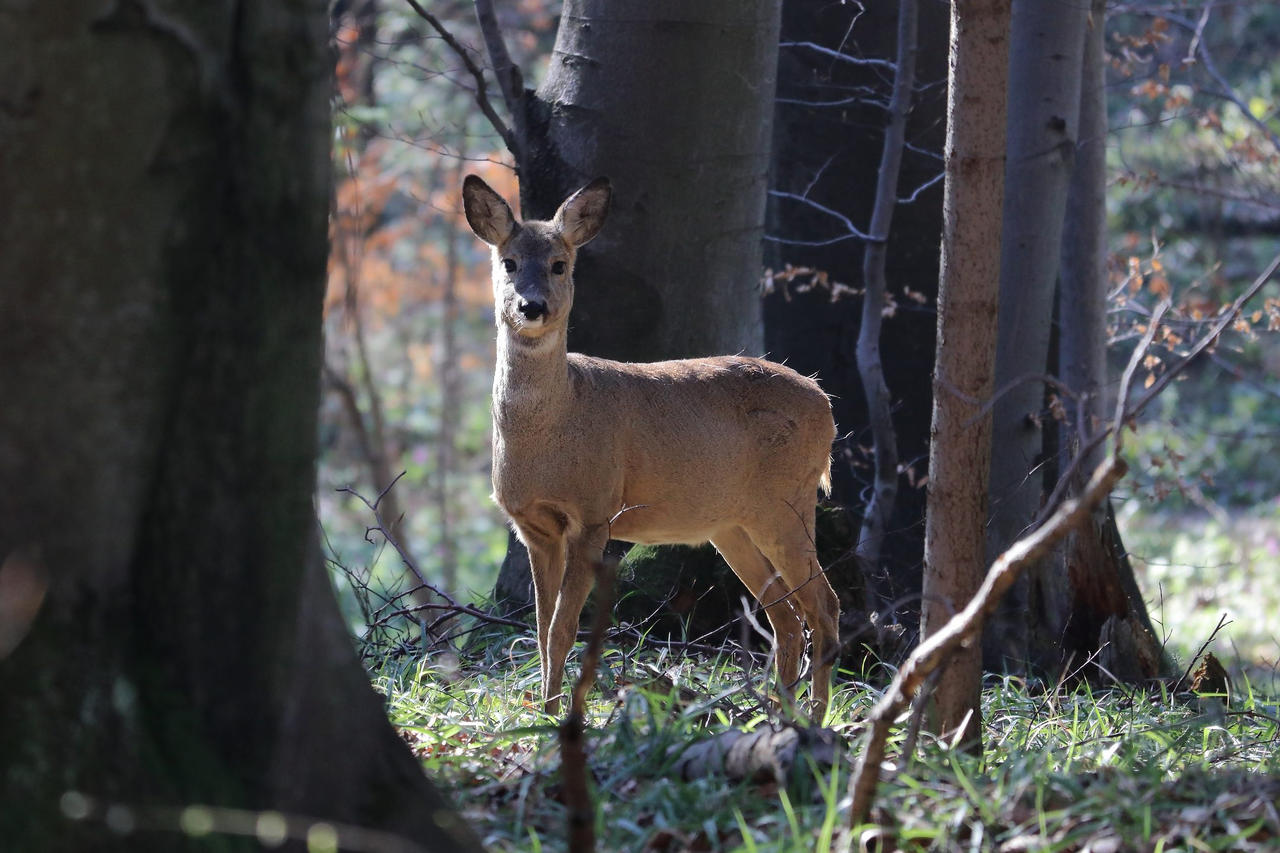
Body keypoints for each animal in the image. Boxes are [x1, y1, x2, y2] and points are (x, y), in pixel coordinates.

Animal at [463, 175, 839, 712]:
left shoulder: (594, 512)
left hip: (786, 499)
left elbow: (563, 628)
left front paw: (558, 716)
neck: (553, 427)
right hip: (734, 523)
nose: (531, 306)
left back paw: (815, 719)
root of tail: (826, 404)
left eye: (559, 263)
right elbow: (538, 628)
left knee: (824, 606)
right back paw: (779, 713)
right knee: (786, 617)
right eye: (508, 262)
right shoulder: (533, 526)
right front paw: (544, 709)